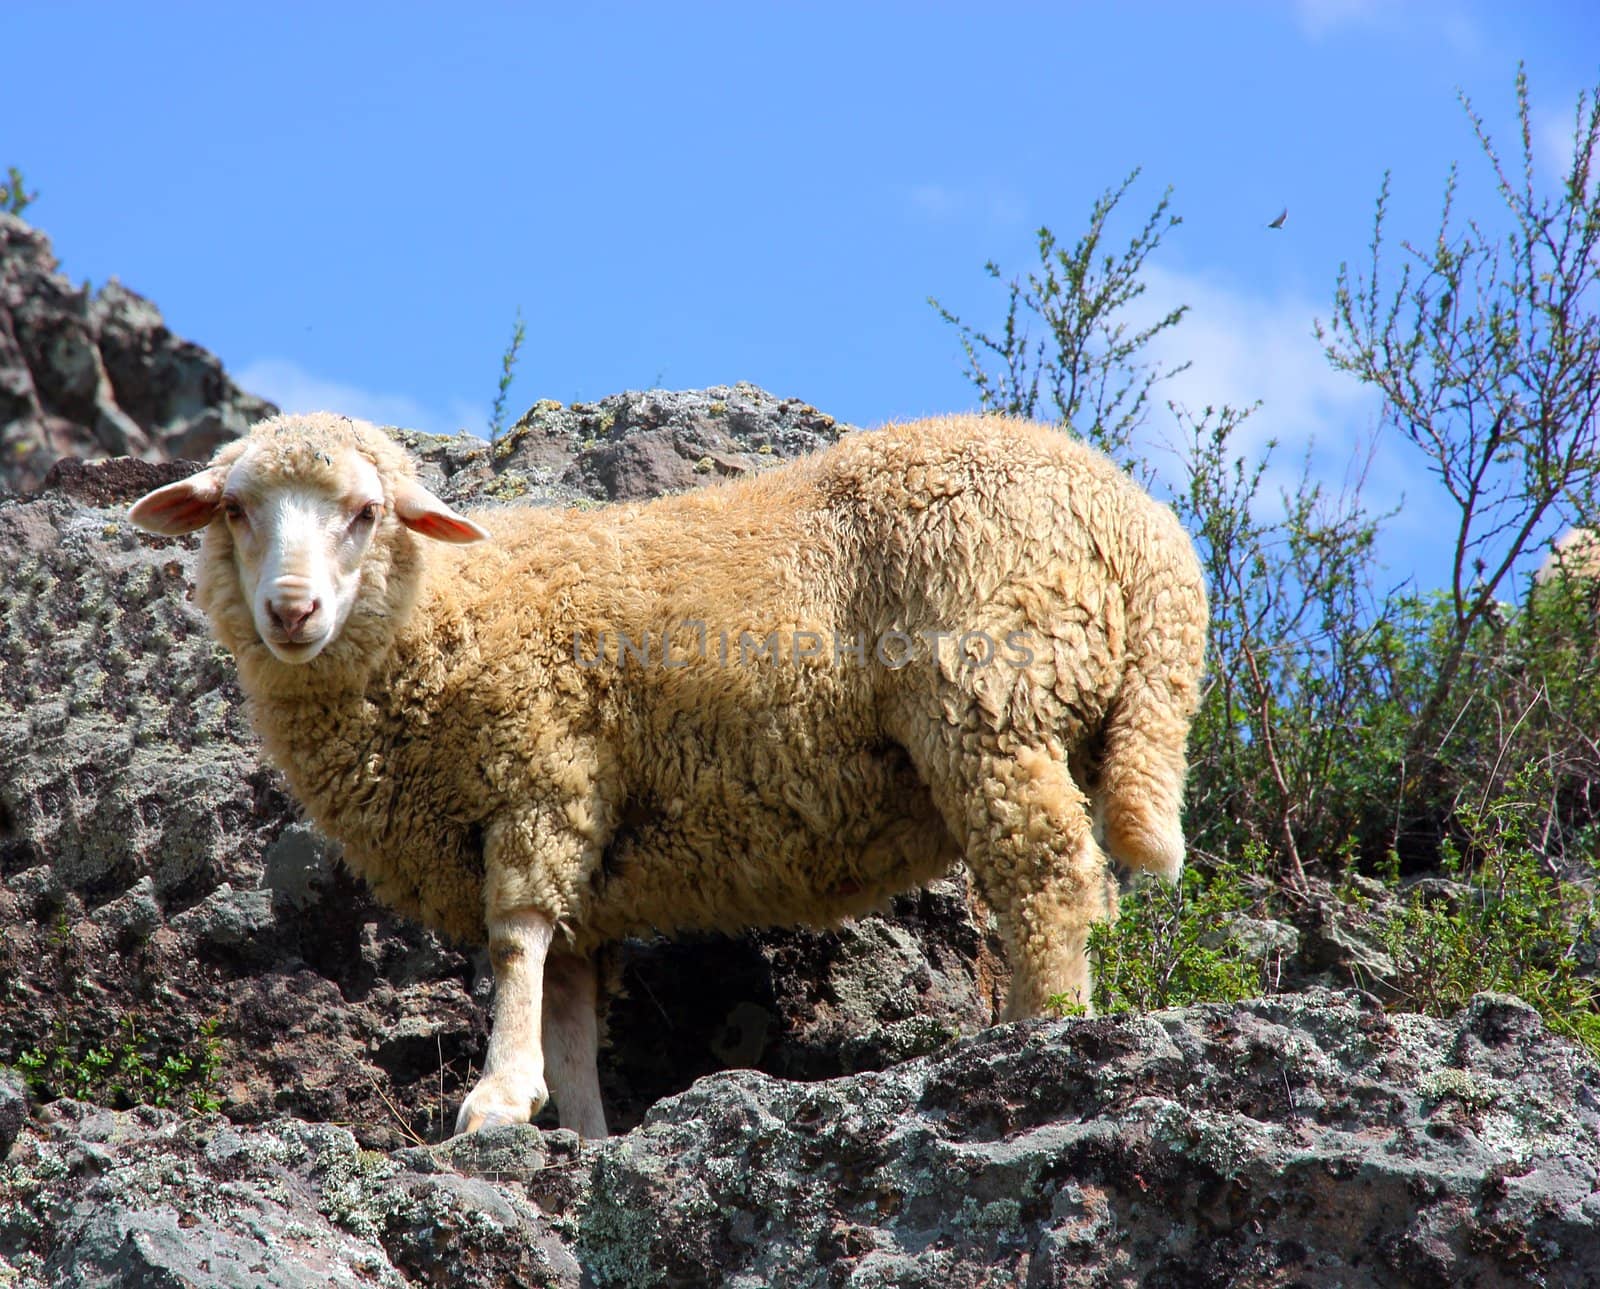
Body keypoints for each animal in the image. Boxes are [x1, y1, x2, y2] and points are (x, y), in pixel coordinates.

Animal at [131, 412, 1203, 1138]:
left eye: (365, 513)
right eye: (236, 510)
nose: (291, 611)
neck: (444, 614)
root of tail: (1144, 529)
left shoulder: (545, 778)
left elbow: (516, 943)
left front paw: (498, 1095)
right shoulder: (579, 852)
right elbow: (568, 998)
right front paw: (581, 1128)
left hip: (990, 694)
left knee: (1050, 876)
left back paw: (1037, 1035)